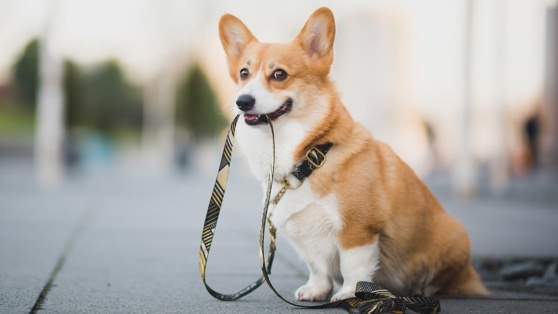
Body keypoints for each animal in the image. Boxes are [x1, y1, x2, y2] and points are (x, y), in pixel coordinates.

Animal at [219, 7, 490, 302]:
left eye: (279, 74)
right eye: (244, 73)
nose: (242, 101)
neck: (309, 159)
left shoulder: (357, 230)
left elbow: (353, 266)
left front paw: (351, 294)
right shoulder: (306, 238)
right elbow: (317, 266)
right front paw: (316, 290)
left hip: (455, 237)